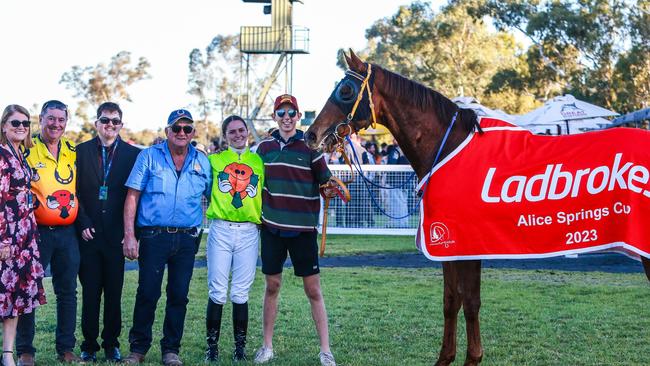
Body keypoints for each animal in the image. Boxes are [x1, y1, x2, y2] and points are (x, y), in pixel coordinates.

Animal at [304, 51, 648, 366]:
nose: (311, 134)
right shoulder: (447, 244)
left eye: (346, 90)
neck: (448, 147)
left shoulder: (465, 243)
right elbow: (450, 301)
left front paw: (472, 358)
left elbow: (470, 302)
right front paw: (445, 358)